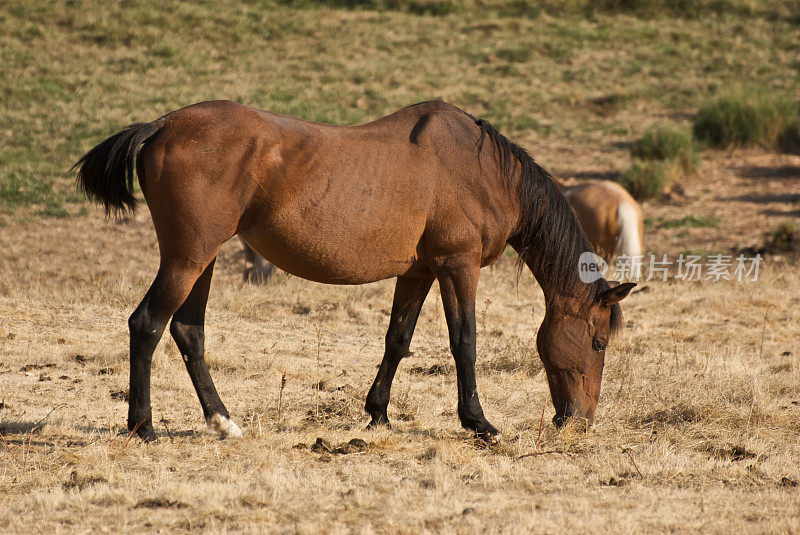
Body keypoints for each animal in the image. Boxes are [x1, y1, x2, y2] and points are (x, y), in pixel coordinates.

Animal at [76, 99, 636, 440]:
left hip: (203, 259)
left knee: (188, 329)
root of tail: (162, 127)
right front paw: (479, 423)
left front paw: (378, 414)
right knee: (147, 324)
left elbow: (397, 340)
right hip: (188, 257)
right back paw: (143, 426)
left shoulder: (419, 272)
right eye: (598, 342)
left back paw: (224, 422)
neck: (482, 170)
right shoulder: (459, 265)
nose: (579, 419)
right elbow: (465, 342)